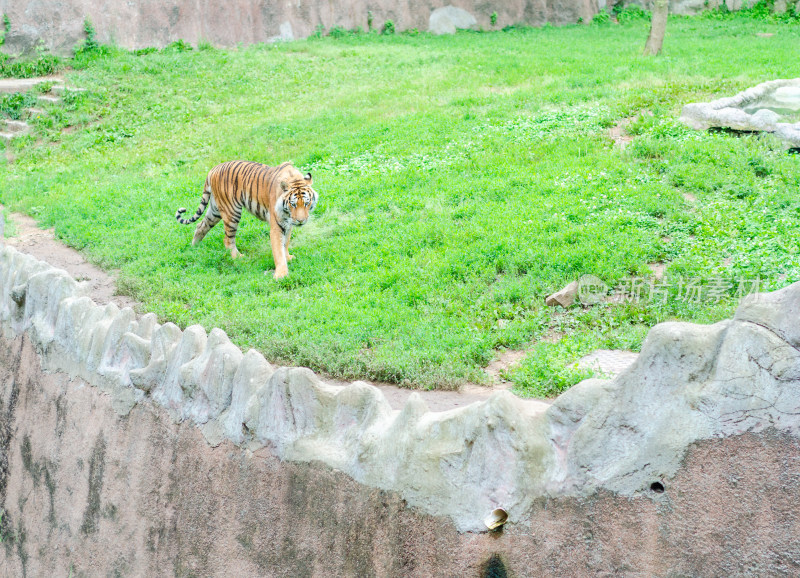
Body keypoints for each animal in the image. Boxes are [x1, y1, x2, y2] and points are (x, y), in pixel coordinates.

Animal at [176, 159, 318, 278]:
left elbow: (285, 243)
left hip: (215, 210)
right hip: (232, 212)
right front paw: (281, 275)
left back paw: (195, 247)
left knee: (201, 225)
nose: (300, 221)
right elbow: (278, 250)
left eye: (306, 203)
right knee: (227, 239)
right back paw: (238, 257)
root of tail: (213, 169)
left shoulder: (287, 224)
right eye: (293, 204)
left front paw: (288, 257)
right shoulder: (277, 225)